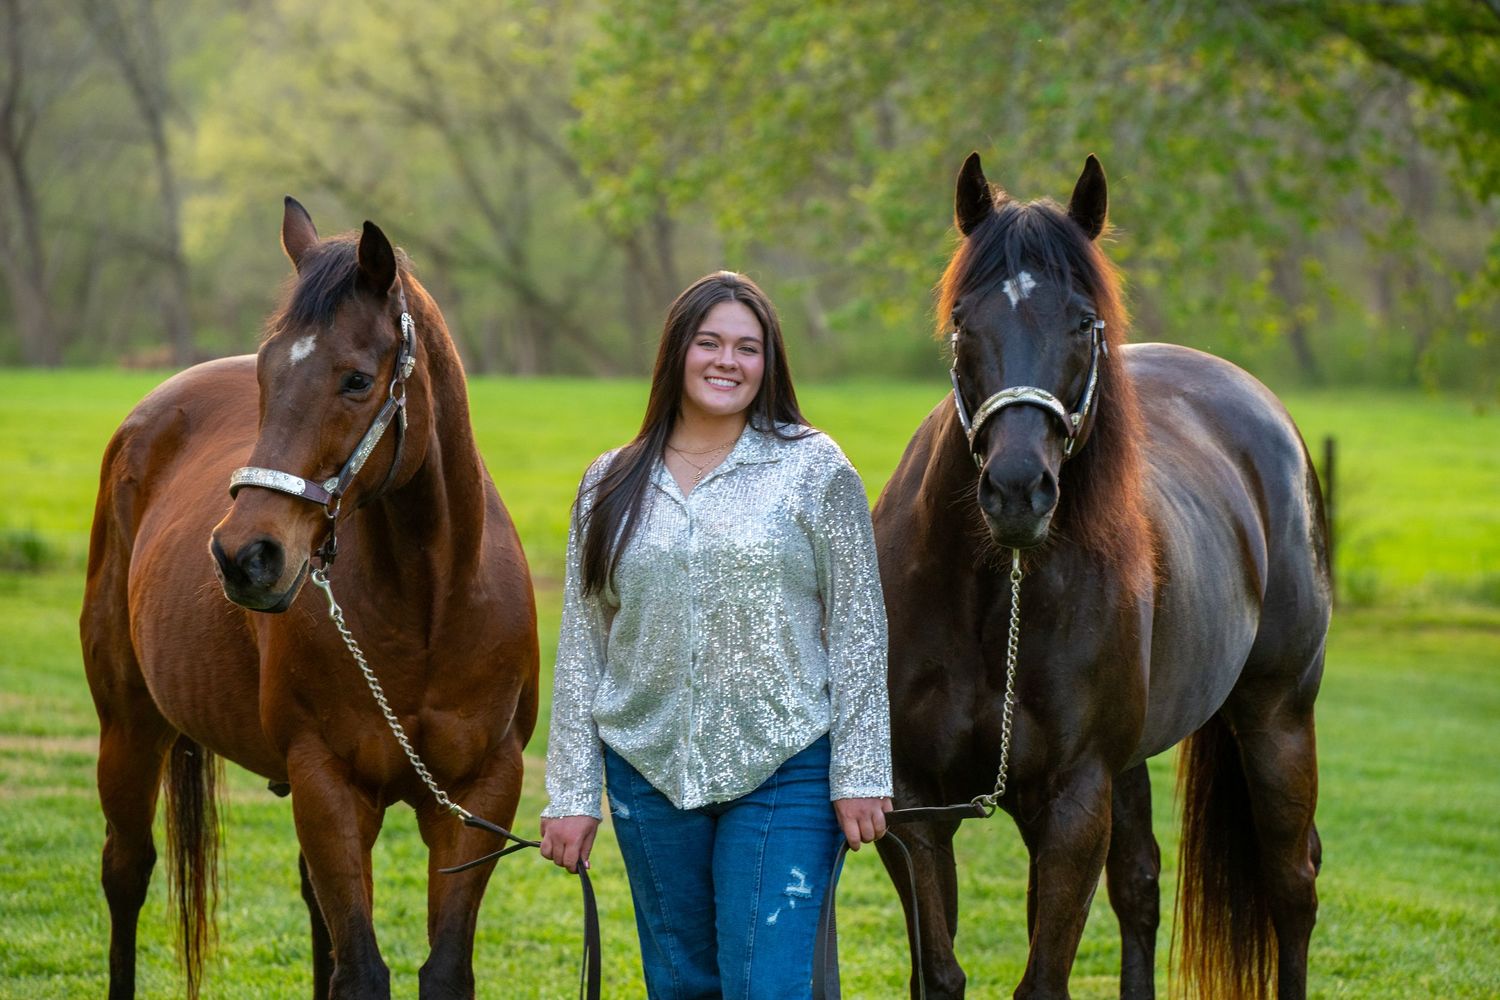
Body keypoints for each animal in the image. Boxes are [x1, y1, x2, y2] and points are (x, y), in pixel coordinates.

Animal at [80, 199, 539, 1000]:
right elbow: (361, 970)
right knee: (126, 874)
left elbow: (441, 967)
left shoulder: (480, 794)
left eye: (357, 380)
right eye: (266, 374)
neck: (432, 605)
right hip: (129, 728)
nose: (243, 555)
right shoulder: (328, 785)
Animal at [872, 153, 1330, 1000]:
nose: (1018, 490)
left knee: (1292, 886)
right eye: (963, 323)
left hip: (1278, 717)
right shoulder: (914, 805)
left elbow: (1042, 978)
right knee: (1141, 887)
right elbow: (939, 973)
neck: (994, 599)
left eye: (1084, 324)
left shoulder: (1073, 801)